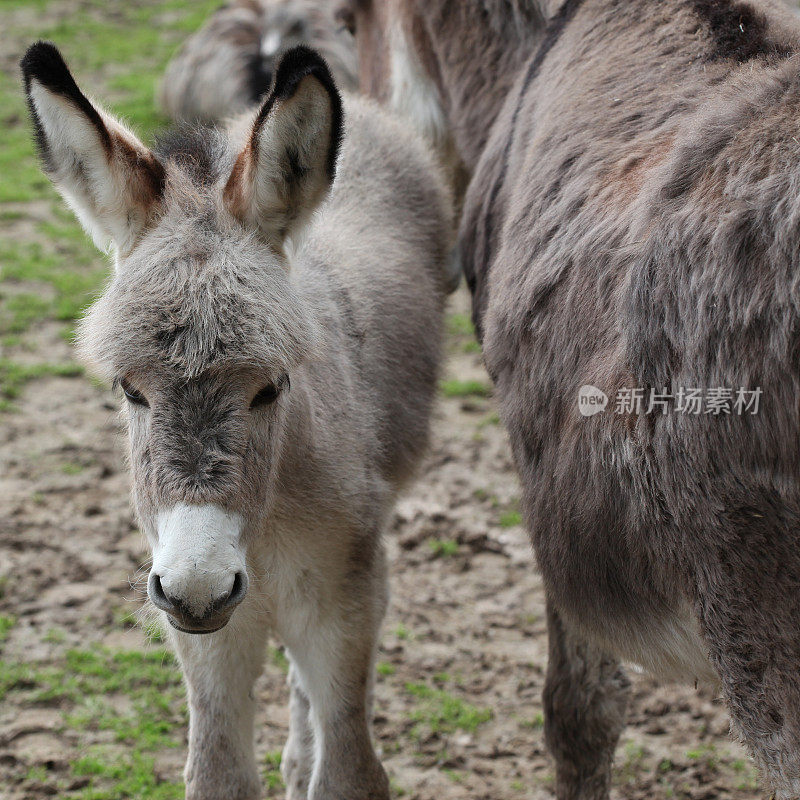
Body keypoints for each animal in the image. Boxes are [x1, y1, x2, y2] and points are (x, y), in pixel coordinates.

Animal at [21, 43, 454, 800]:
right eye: (129, 391)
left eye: (271, 389)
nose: (199, 586)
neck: (266, 529)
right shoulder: (206, 634)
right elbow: (219, 773)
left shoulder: (344, 597)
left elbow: (350, 769)